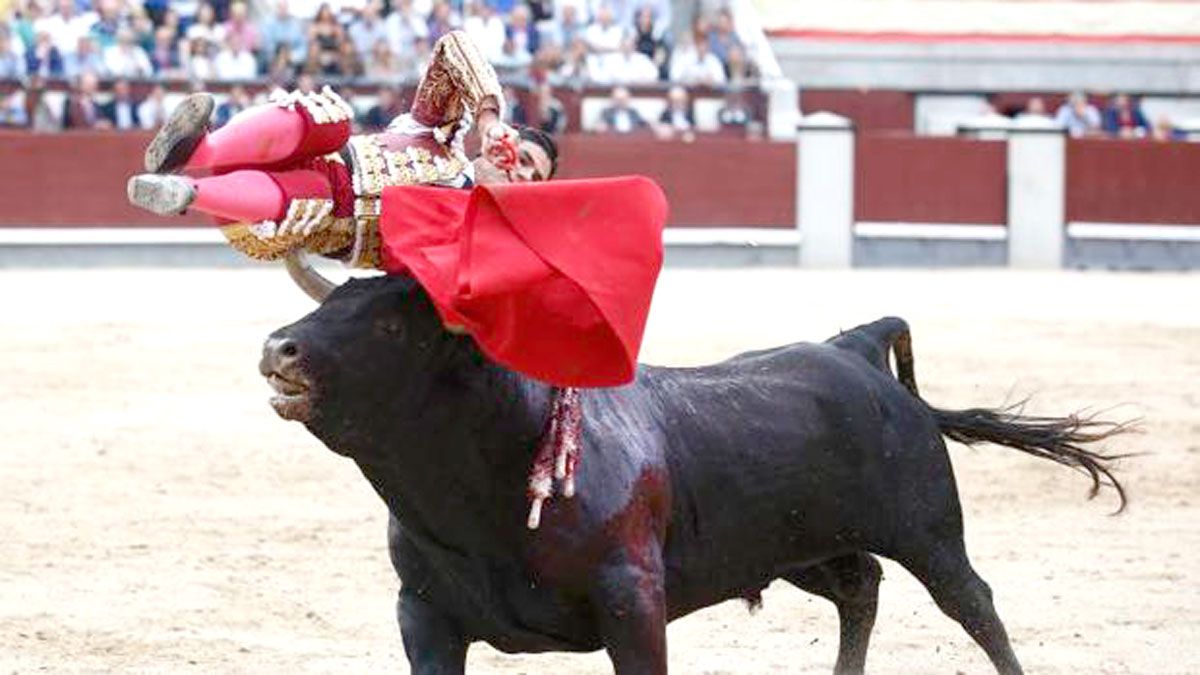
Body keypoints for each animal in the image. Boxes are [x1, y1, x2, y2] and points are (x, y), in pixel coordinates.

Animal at [258, 275, 1128, 672]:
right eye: (334, 297)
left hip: (929, 529)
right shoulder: (424, 613)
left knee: (972, 602)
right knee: (860, 586)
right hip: (794, 547)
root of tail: (851, 345)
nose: (278, 347)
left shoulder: (632, 601)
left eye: (391, 322)